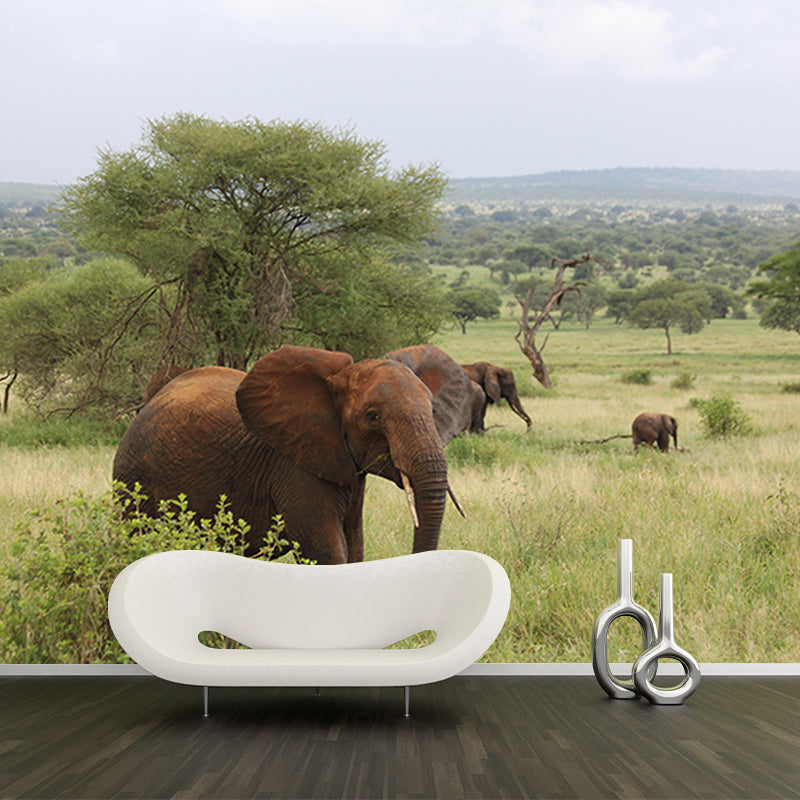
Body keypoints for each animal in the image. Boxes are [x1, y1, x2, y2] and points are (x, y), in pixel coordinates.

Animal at [113, 345, 463, 565]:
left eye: (432, 410)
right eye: (373, 417)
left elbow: (355, 548)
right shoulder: (293, 467)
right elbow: (329, 553)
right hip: (132, 480)